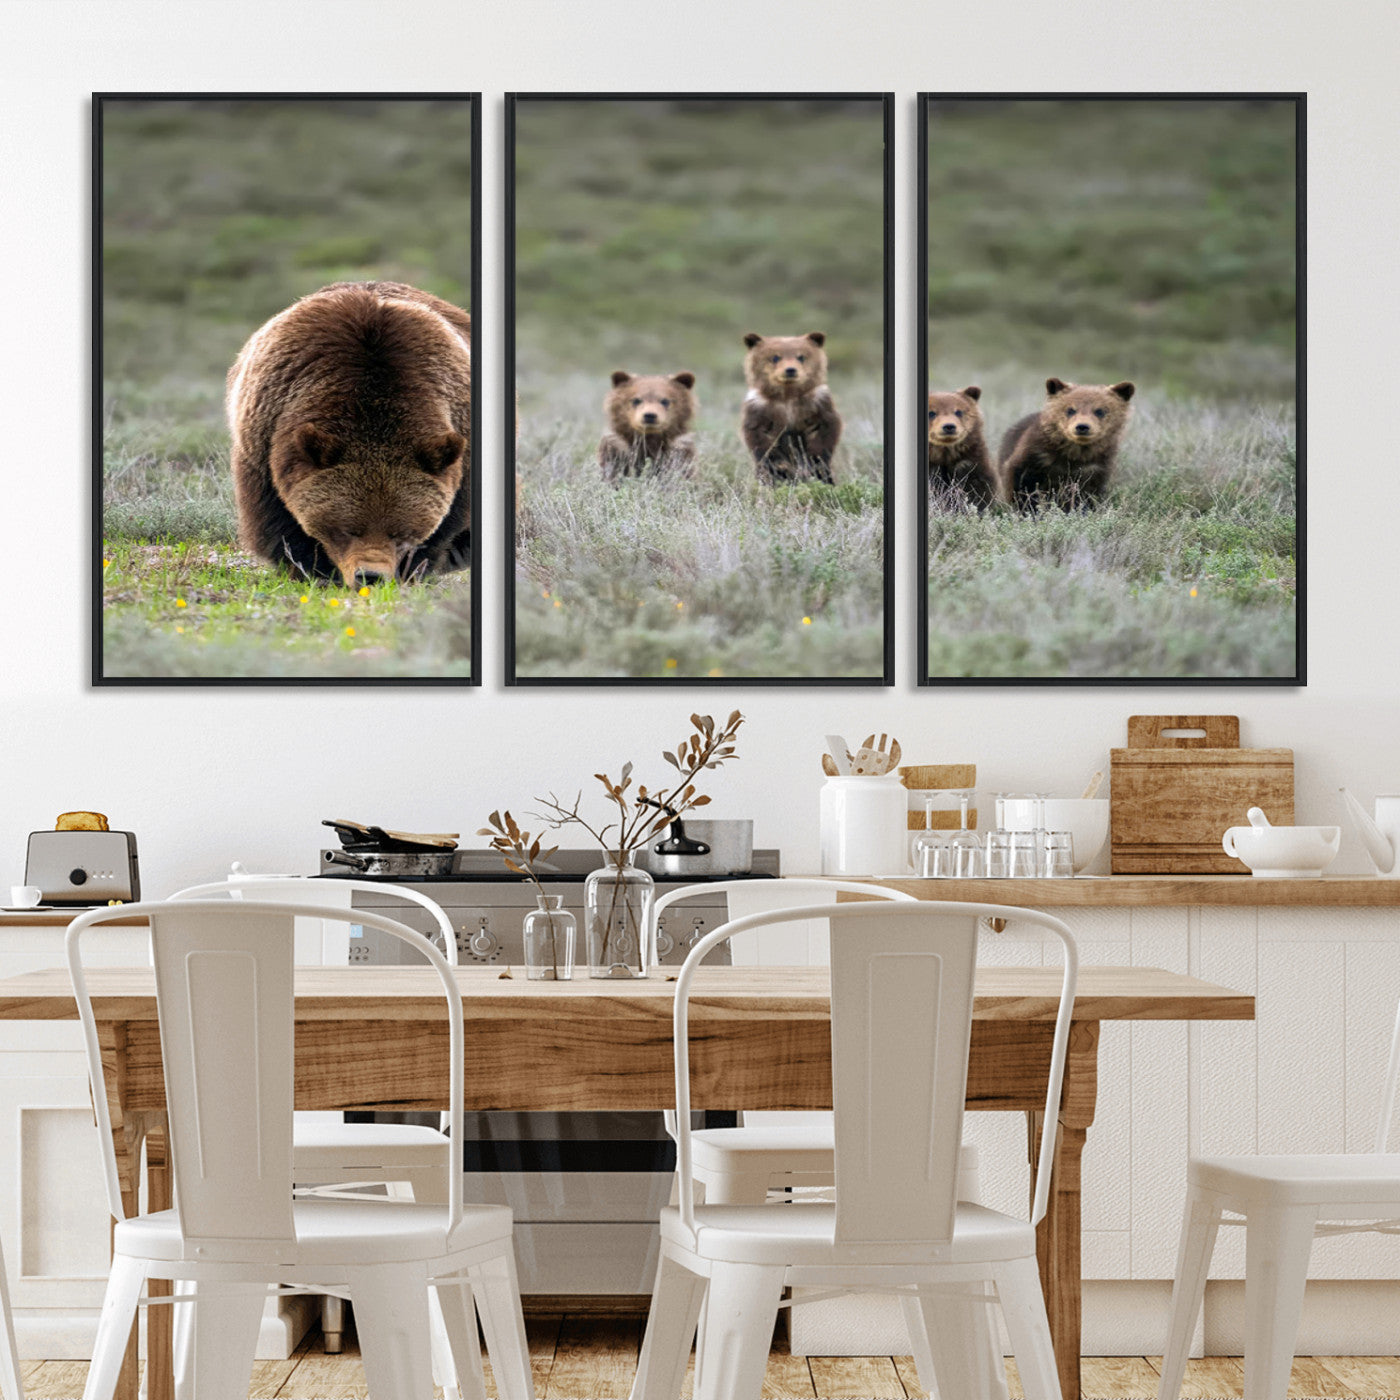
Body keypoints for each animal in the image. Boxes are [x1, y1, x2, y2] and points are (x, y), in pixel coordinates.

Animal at [227, 280, 472, 585]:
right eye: (347, 529)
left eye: (400, 532)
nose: (371, 575)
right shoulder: (266, 439)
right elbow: (278, 520)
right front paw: (312, 568)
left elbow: (444, 527)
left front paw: (413, 570)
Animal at [740, 331, 842, 484]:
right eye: (775, 357)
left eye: (801, 356)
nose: (790, 370)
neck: (788, 397)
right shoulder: (760, 408)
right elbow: (760, 439)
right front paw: (781, 467)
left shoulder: (818, 404)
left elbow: (824, 432)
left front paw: (813, 462)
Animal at [1000, 377, 1136, 511]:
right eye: (1070, 410)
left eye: (1100, 411)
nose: (1082, 426)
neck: (1073, 454)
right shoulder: (1035, 457)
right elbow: (1021, 484)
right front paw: (1026, 509)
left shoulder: (1096, 467)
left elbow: (1088, 494)